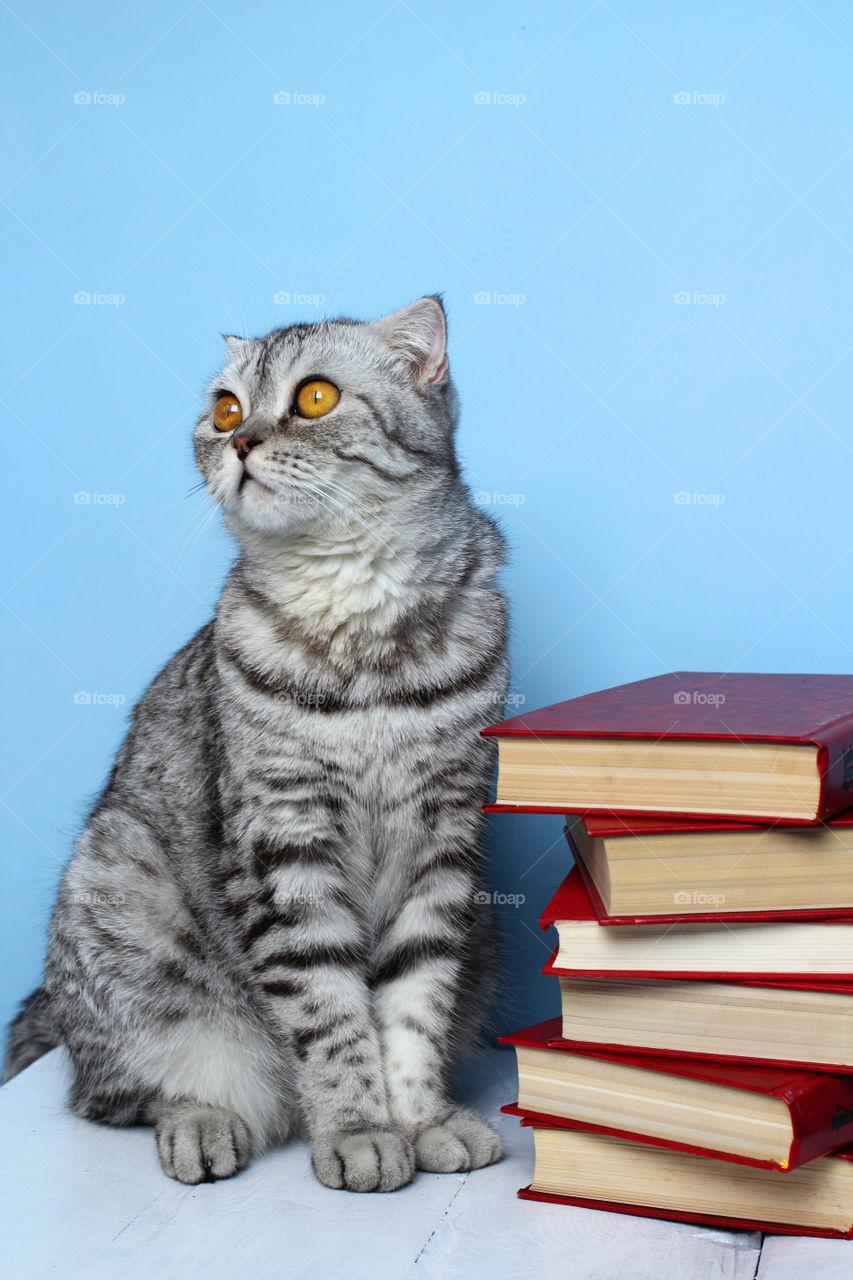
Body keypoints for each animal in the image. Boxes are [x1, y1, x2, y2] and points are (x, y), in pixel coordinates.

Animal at [3, 293, 507, 1187]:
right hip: (118, 879)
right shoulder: (283, 842)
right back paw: (203, 1122)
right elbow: (330, 1015)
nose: (240, 441)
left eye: (314, 398)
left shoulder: (444, 844)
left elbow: (414, 1006)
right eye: (226, 410)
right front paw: (357, 1130)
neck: (355, 618)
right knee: (122, 1093)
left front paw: (421, 1120)